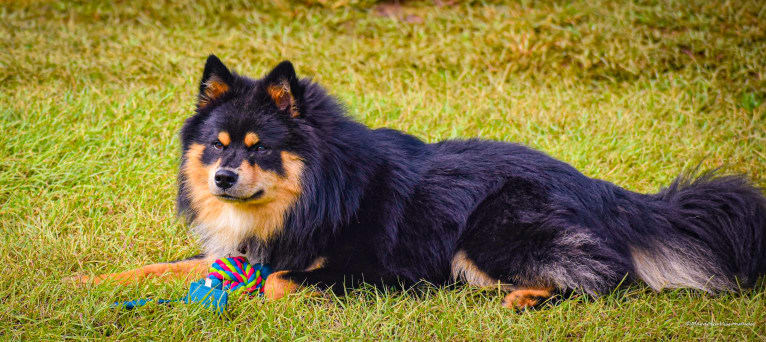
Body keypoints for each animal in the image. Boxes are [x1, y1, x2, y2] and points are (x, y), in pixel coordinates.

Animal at [72, 56, 766, 310]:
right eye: (216, 145)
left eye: (258, 149)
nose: (221, 177)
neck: (317, 193)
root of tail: (606, 192)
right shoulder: (236, 254)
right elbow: (164, 268)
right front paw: (89, 283)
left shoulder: (378, 271)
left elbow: (276, 283)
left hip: (490, 230)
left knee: (605, 276)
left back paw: (524, 298)